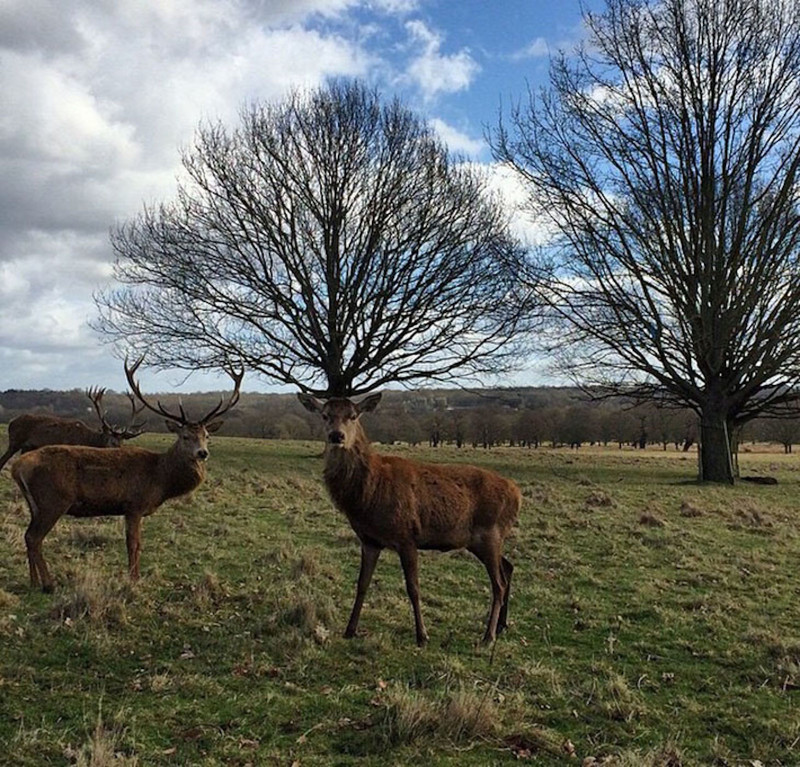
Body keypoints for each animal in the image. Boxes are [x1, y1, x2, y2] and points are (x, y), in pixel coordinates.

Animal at [0, 390, 146, 474]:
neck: (87, 440)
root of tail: (11, 422)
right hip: (15, 441)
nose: (121, 454)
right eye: (112, 441)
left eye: (122, 442)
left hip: (27, 447)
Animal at [296, 392, 520, 644]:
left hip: (490, 533)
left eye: (353, 415)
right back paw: (501, 626)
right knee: (508, 568)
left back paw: (488, 636)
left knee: (498, 584)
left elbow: (413, 587)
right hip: (483, 540)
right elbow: (362, 583)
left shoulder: (407, 536)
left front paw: (422, 635)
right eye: (325, 415)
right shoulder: (370, 540)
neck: (370, 494)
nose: (336, 435)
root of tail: (517, 494)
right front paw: (349, 630)